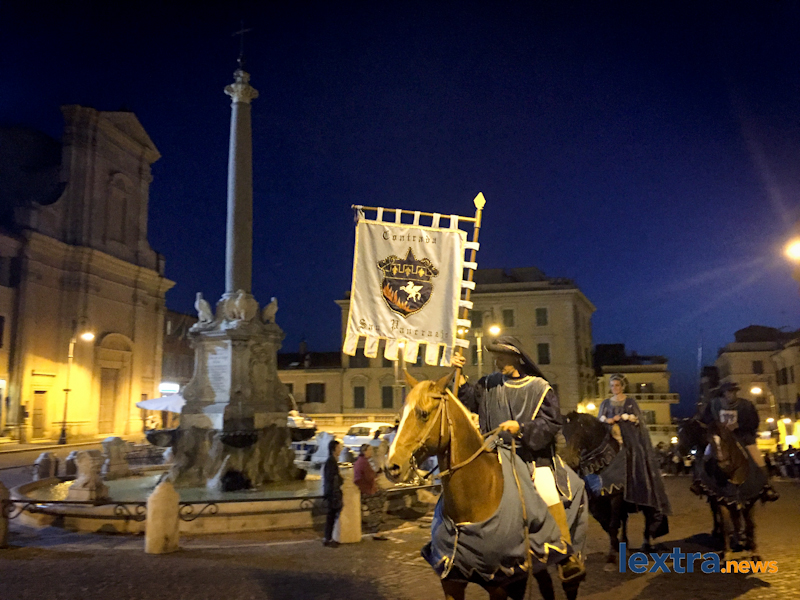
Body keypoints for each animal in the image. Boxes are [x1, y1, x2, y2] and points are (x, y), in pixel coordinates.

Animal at [386, 371, 586, 600]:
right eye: (400, 415)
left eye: (423, 414)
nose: (392, 466)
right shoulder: (452, 580)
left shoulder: (499, 582)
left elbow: (548, 421)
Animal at [560, 412, 635, 571]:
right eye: (565, 432)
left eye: (581, 430)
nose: (571, 460)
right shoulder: (595, 504)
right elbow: (607, 526)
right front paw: (615, 549)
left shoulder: (616, 496)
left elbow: (613, 525)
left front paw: (611, 559)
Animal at [677, 417, 762, 560]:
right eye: (709, 440)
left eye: (683, 433)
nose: (678, 451)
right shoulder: (722, 500)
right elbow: (726, 525)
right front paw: (727, 552)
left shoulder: (749, 500)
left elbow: (750, 524)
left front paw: (754, 551)